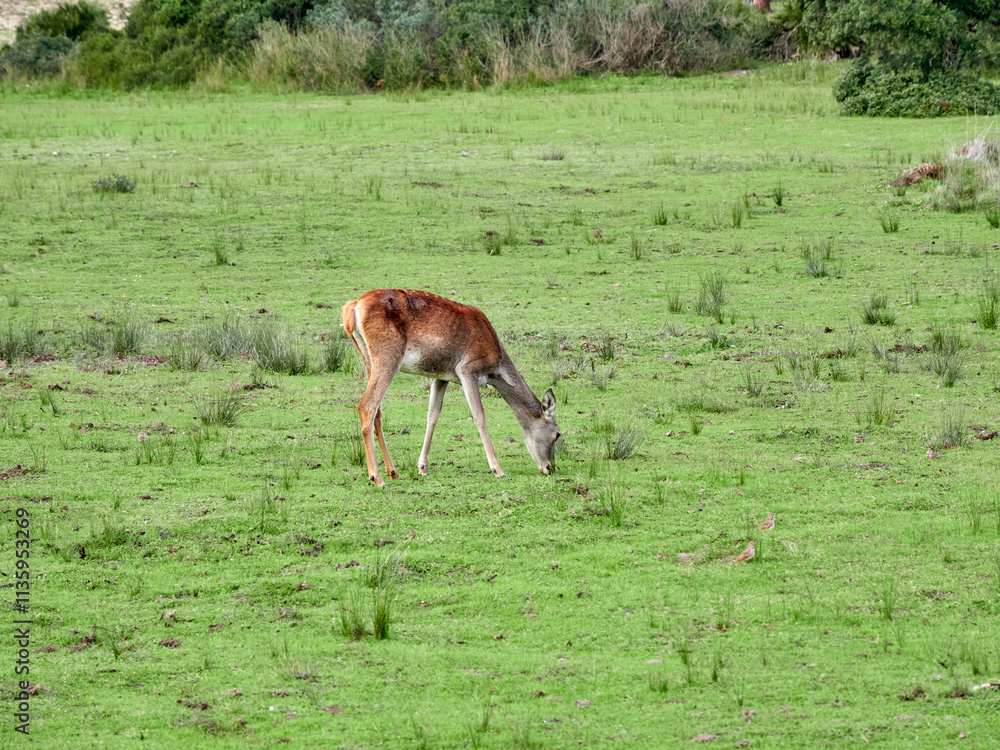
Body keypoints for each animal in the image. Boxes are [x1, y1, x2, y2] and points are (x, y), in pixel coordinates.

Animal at [341, 289, 560, 487]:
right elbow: (479, 416)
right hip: (388, 356)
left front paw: (423, 467)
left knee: (377, 411)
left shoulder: (441, 377)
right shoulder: (467, 370)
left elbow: (432, 415)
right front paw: (498, 469)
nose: (550, 468)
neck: (495, 364)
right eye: (558, 434)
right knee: (367, 406)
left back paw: (393, 472)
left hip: (367, 359)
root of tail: (352, 307)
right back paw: (376, 478)